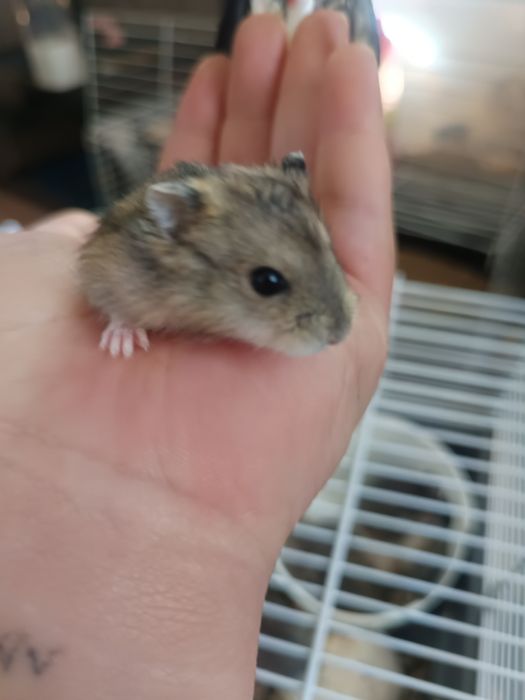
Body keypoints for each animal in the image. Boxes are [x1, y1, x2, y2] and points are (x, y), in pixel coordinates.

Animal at [78, 152, 355, 358]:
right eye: (266, 282)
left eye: (330, 248)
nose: (339, 336)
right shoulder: (105, 271)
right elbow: (115, 309)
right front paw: (122, 346)